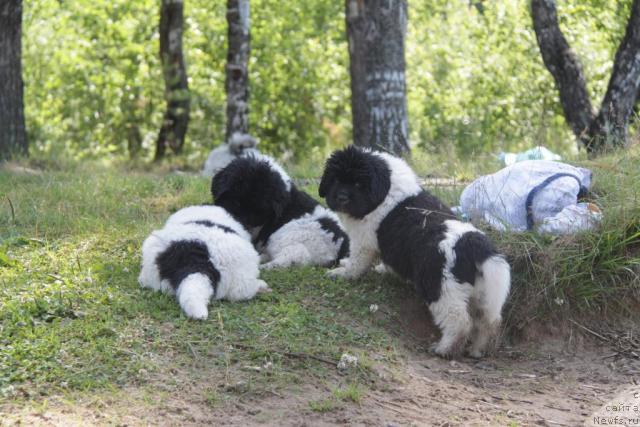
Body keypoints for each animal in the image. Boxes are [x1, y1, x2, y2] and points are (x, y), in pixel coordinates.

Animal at [320, 147, 510, 358]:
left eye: (358, 184)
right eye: (336, 180)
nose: (341, 198)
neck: (384, 191)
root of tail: (473, 242)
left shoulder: (363, 241)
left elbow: (357, 261)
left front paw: (344, 273)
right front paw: (381, 269)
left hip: (440, 287)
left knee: (459, 320)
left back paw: (445, 348)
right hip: (486, 292)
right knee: (488, 320)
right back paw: (478, 349)